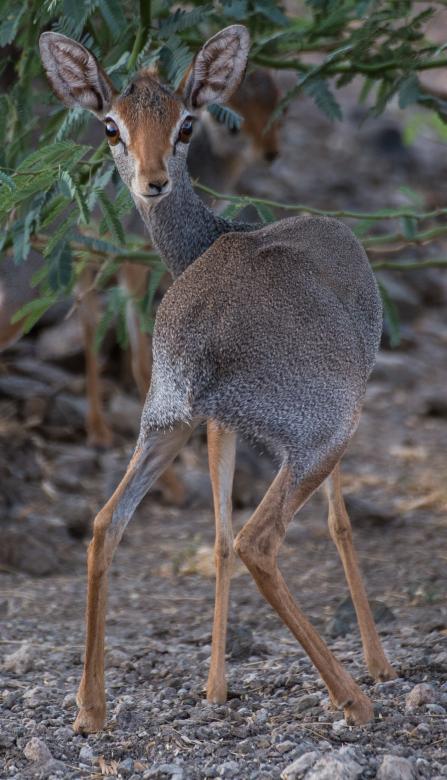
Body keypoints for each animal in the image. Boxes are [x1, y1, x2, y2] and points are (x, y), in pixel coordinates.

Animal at [39, 24, 396, 735]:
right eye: (111, 126)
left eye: (185, 124)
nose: (151, 181)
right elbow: (336, 525)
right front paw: (378, 663)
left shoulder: (215, 422)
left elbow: (217, 535)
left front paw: (215, 685)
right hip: (322, 433)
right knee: (259, 540)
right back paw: (353, 696)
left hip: (164, 424)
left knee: (107, 523)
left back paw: (91, 708)